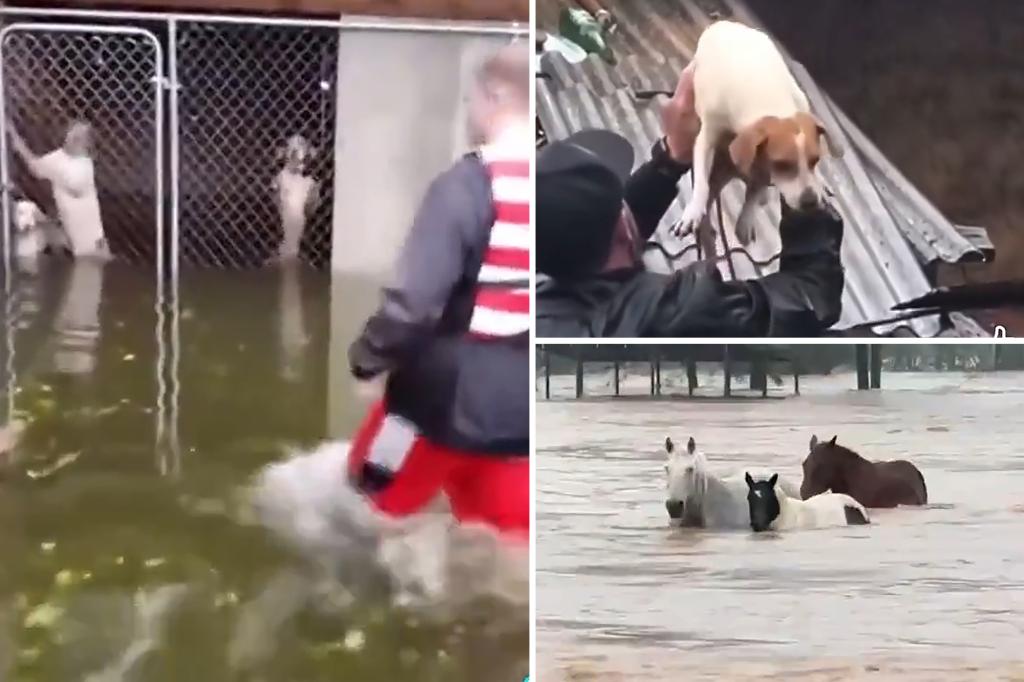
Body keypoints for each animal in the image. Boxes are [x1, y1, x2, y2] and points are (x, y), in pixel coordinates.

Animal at [671, 20, 839, 244]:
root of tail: (726, 23)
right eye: (782, 164)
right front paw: (694, 211)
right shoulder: (706, 139)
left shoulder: (762, 163)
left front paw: (746, 217)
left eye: (815, 160)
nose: (810, 202)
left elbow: (753, 193)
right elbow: (702, 182)